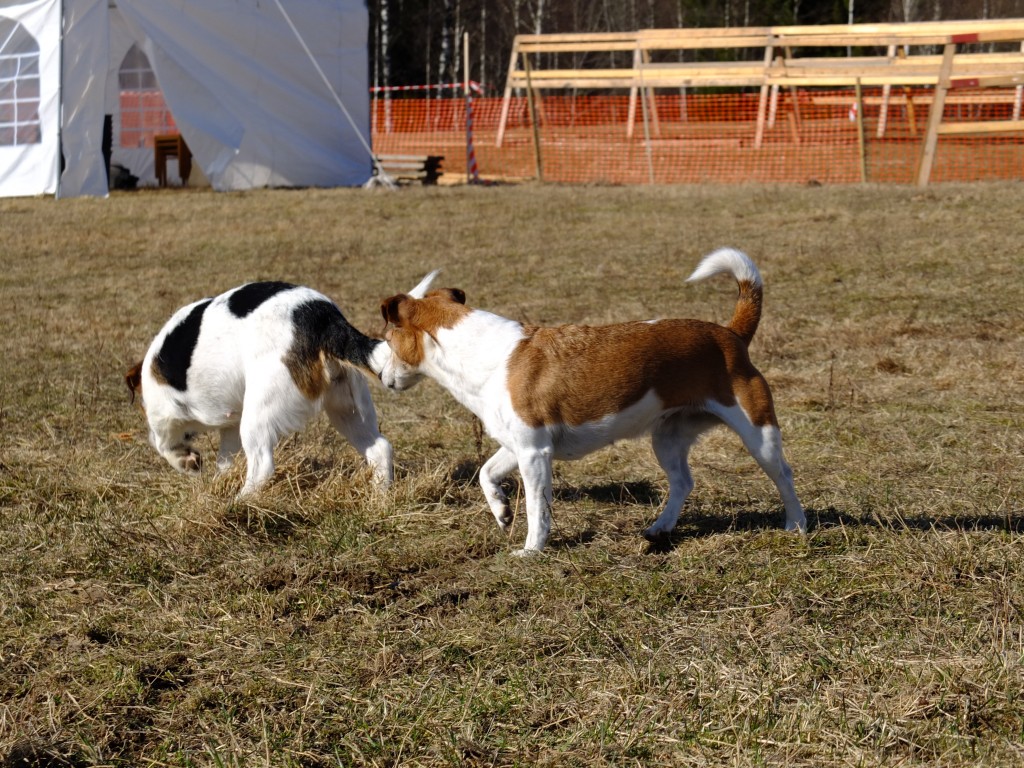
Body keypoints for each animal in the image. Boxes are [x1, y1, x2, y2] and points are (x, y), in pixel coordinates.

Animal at [124, 276, 436, 499]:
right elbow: (224, 460)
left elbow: (162, 443)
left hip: (259, 413)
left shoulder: (164, 415)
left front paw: (187, 462)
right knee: (381, 449)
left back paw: (240, 502)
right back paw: (380, 497)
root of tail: (325, 319)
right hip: (347, 410)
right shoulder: (229, 427)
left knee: (262, 466)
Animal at [378, 249, 806, 557]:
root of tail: (731, 334)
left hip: (758, 433)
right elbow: (485, 473)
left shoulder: (534, 453)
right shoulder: (518, 446)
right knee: (683, 481)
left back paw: (796, 526)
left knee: (784, 475)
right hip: (666, 437)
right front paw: (501, 511)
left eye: (386, 337)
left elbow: (538, 509)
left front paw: (532, 550)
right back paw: (660, 528)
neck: (482, 354)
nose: (378, 372)